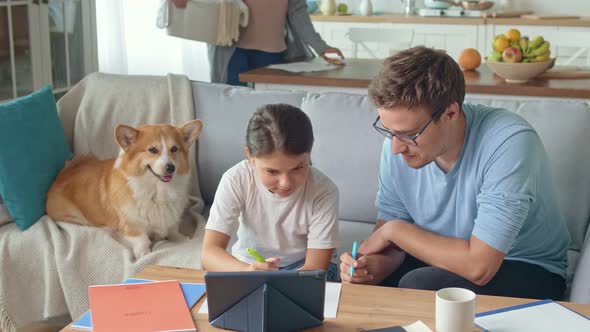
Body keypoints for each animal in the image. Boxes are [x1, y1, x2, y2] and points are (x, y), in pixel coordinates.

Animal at [46, 119, 204, 260]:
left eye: (174, 149)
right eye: (153, 150)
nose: (171, 168)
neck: (157, 191)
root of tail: (62, 174)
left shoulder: (170, 222)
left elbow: (175, 233)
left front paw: (185, 239)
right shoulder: (132, 226)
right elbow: (141, 240)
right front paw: (144, 254)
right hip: (77, 218)